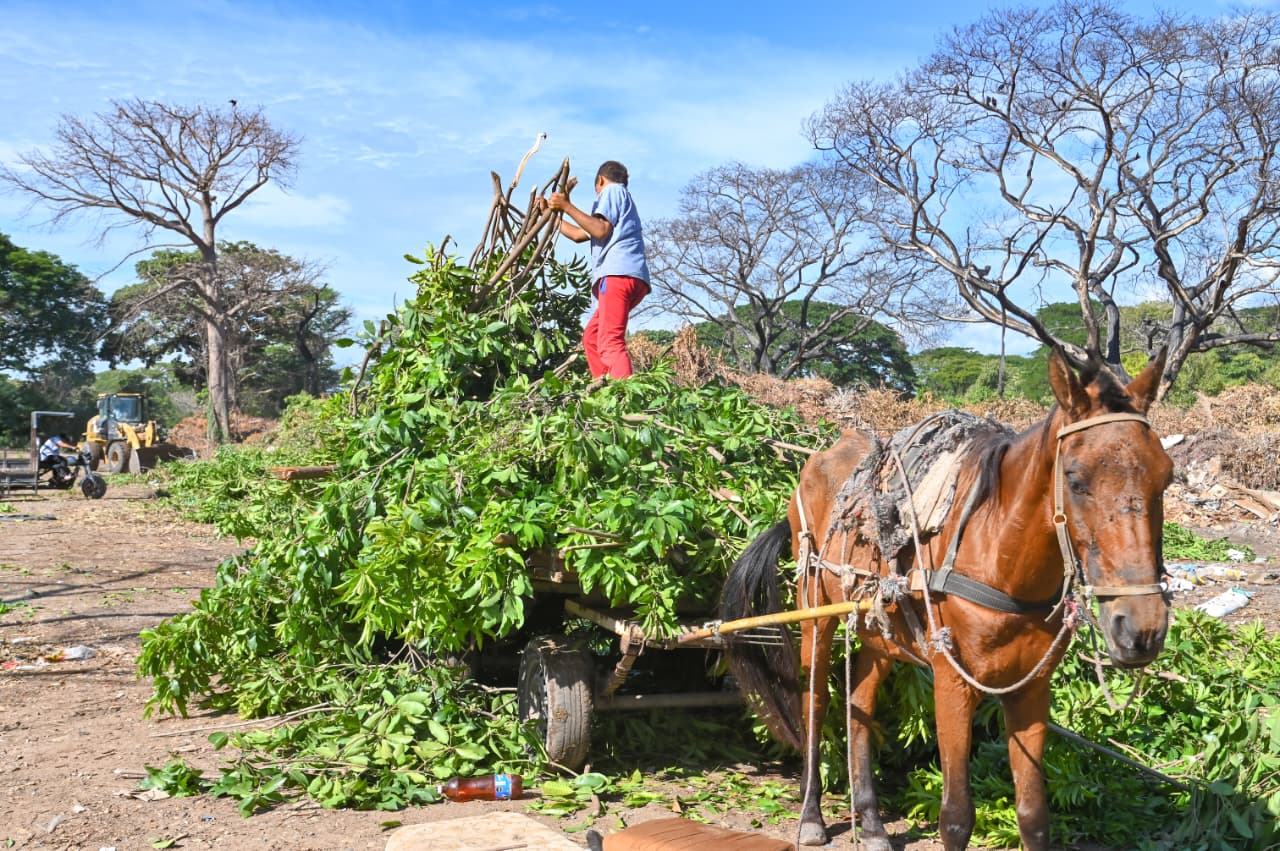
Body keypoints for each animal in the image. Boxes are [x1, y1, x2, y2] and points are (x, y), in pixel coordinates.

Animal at [720, 348, 1172, 850]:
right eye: (1075, 479)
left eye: (1166, 478)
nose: (1141, 629)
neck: (999, 552)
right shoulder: (952, 681)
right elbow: (956, 817)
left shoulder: (1032, 687)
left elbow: (1034, 816)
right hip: (814, 611)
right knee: (813, 701)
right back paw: (811, 815)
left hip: (882, 631)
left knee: (859, 704)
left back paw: (871, 822)